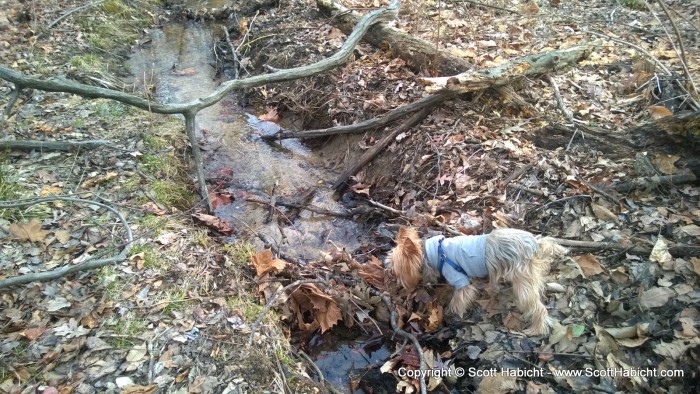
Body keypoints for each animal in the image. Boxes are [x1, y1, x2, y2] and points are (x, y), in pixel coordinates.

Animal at [388, 228, 568, 336]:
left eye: (397, 270)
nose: (396, 282)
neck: (434, 253)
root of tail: (535, 243)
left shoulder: (459, 279)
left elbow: (459, 299)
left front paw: (451, 313)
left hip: (523, 279)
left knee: (537, 306)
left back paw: (537, 329)